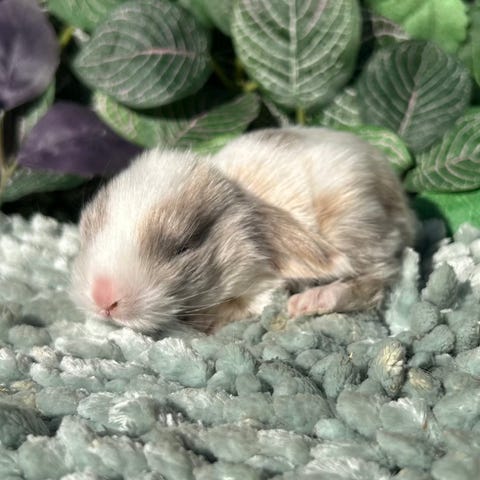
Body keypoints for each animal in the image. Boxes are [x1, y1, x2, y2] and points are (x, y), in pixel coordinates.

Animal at [71, 127, 416, 333]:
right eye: (87, 232)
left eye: (182, 247)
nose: (104, 299)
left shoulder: (264, 285)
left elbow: (248, 305)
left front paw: (199, 320)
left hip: (357, 227)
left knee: (379, 280)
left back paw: (314, 300)